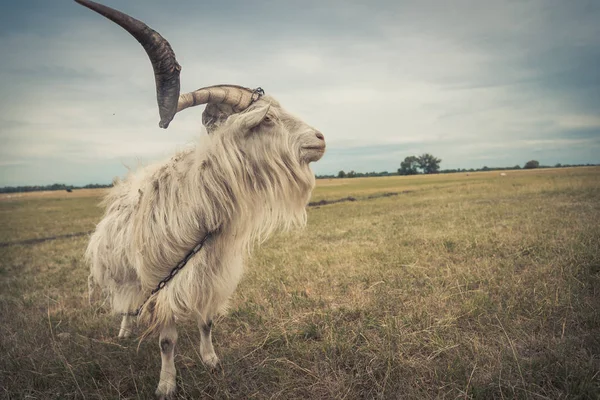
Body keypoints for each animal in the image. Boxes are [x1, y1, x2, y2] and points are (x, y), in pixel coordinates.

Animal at [77, 1, 326, 398]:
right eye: (266, 120)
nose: (320, 139)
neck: (201, 204)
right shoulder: (162, 283)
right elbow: (166, 341)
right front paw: (166, 384)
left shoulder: (213, 274)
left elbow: (207, 321)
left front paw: (211, 361)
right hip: (121, 271)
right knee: (125, 301)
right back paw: (124, 331)